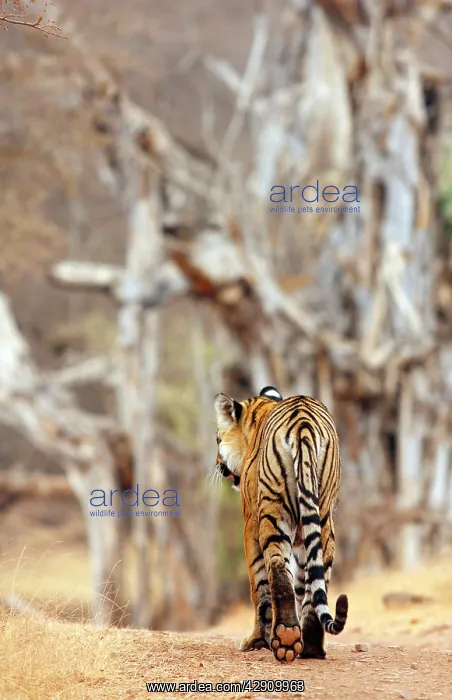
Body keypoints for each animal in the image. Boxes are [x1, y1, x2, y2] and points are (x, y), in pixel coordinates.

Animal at [214, 385, 348, 663]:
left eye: (218, 440)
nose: (218, 464)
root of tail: (303, 424)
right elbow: (302, 582)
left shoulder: (250, 525)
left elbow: (259, 586)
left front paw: (256, 642)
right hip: (323, 516)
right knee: (317, 578)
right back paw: (311, 647)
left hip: (273, 514)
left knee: (276, 569)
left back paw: (285, 638)